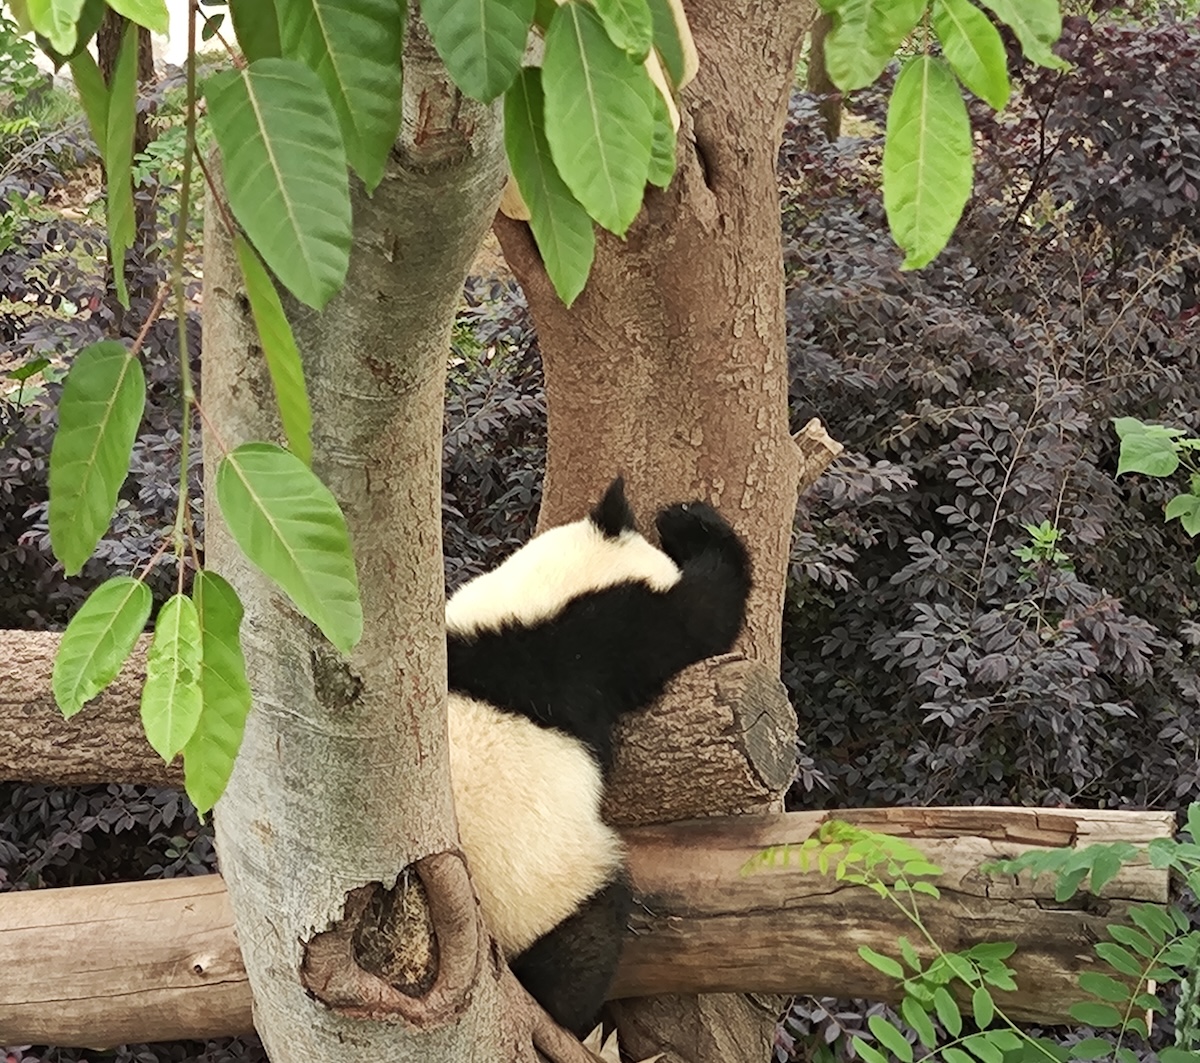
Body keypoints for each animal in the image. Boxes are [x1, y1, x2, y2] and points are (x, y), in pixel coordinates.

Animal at [444, 476, 752, 1035]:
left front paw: (680, 519)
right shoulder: (605, 642)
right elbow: (703, 616)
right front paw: (694, 525)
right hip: (544, 896)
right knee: (584, 941)